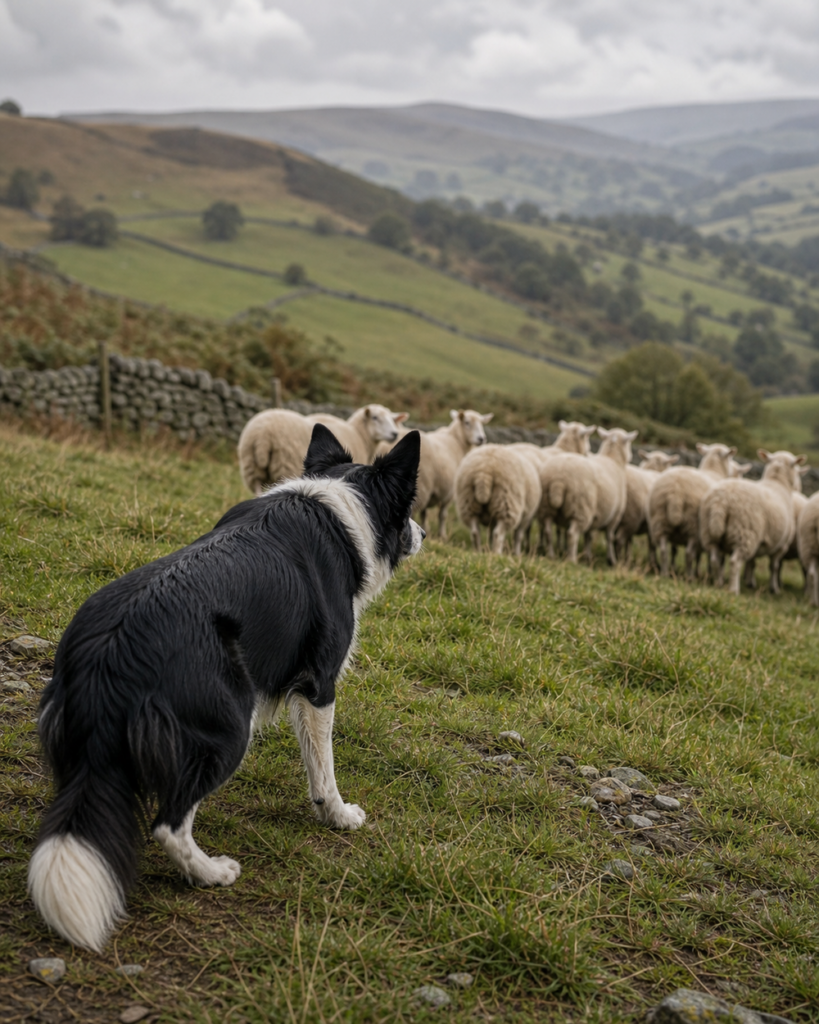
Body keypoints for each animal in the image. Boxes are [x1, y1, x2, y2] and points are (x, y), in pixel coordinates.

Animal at [237, 403, 406, 494]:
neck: (359, 434)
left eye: (392, 420)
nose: (394, 434)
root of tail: (263, 436)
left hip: (252, 469)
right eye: (375, 418)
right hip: (284, 467)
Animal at [536, 427, 638, 564]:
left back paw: (551, 555)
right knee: (572, 534)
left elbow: (588, 535)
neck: (613, 460)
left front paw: (587, 555)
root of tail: (559, 479)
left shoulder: (595, 515)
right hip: (581, 507)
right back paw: (571, 560)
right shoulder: (615, 515)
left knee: (548, 531)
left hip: (546, 507)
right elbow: (609, 537)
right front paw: (612, 560)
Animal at [646, 442, 738, 579]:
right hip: (692, 526)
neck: (714, 471)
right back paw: (690, 577)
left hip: (659, 521)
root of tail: (676, 490)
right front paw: (706, 574)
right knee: (689, 553)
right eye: (730, 458)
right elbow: (707, 557)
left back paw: (665, 573)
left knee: (663, 550)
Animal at [699, 449, 806, 595]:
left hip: (710, 533)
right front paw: (774, 588)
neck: (778, 483)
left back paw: (719, 583)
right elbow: (774, 567)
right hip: (745, 533)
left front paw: (751, 583)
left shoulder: (759, 542)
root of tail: (721, 502)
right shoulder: (781, 544)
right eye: (796, 468)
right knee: (735, 562)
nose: (799, 487)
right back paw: (733, 589)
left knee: (715, 560)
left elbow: (752, 563)